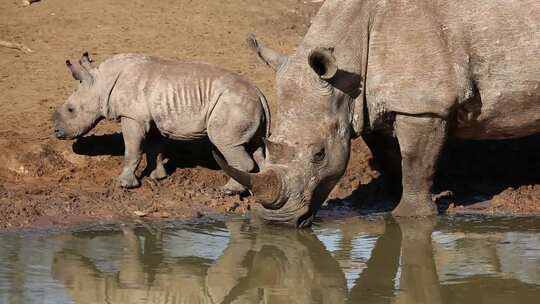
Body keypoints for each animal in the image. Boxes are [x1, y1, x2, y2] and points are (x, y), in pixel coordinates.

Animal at [54, 53, 270, 194]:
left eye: (71, 110)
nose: (56, 132)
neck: (101, 82)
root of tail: (259, 93)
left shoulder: (132, 117)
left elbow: (132, 150)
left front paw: (124, 184)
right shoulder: (151, 119)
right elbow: (154, 148)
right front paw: (157, 177)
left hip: (232, 103)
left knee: (227, 143)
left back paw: (229, 190)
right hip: (246, 105)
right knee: (257, 147)